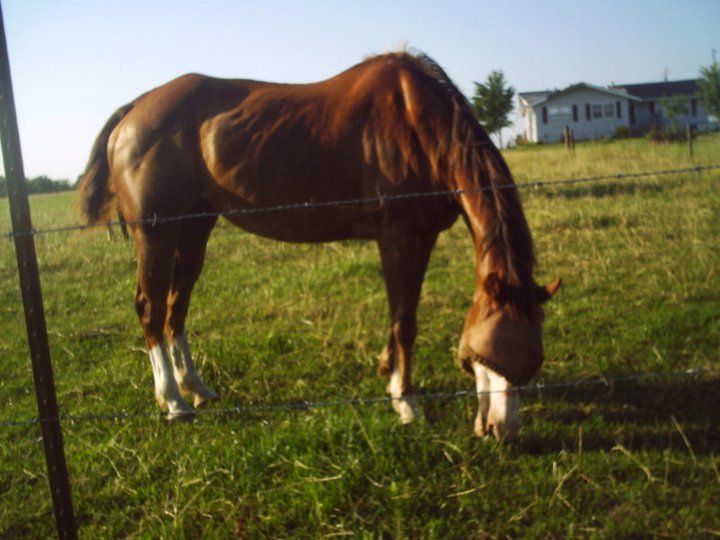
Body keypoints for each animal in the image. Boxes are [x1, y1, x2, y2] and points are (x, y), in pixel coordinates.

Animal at [77, 51, 560, 441]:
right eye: (490, 350)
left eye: (532, 358)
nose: (501, 431)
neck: (418, 123)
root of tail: (135, 109)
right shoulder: (398, 237)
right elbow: (404, 320)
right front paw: (406, 404)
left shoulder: (422, 238)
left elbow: (403, 315)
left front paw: (388, 374)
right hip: (156, 234)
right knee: (151, 307)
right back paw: (173, 403)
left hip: (195, 229)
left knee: (176, 307)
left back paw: (196, 389)